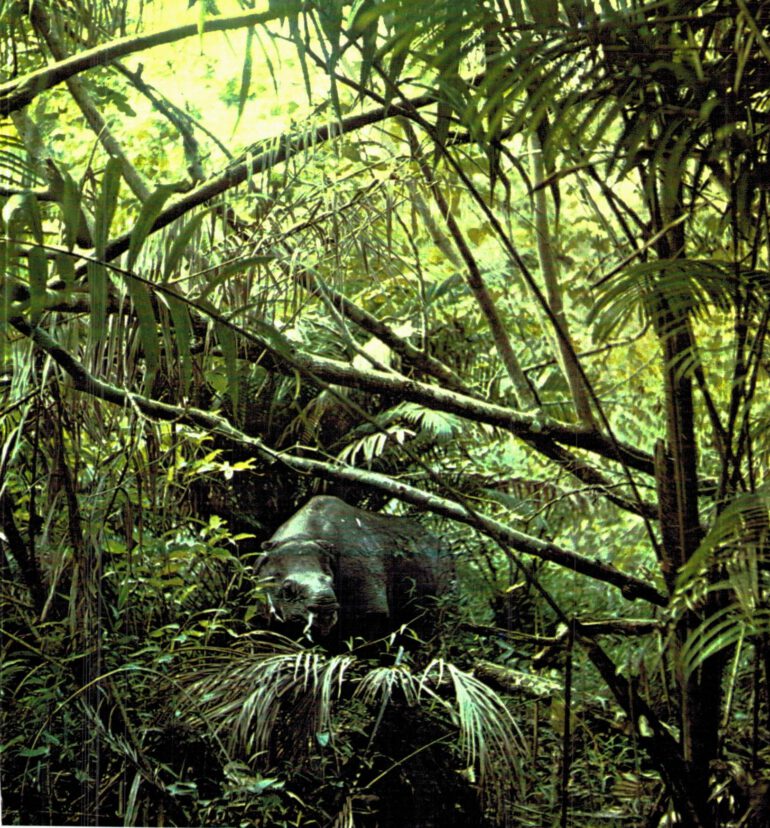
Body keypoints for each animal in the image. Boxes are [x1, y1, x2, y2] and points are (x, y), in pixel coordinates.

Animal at [257, 495, 454, 642]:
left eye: (332, 582)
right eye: (287, 591)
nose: (325, 608)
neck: (301, 537)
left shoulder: (371, 609)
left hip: (443, 560)